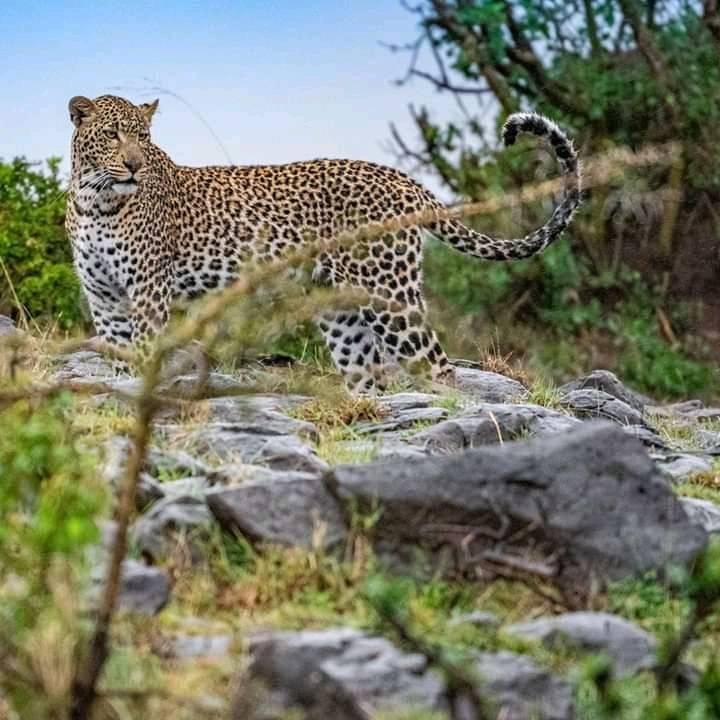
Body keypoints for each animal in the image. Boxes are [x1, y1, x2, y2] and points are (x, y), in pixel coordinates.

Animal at [65, 94, 581, 393]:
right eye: (112, 134)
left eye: (143, 136)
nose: (134, 165)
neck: (96, 198)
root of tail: (402, 179)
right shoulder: (104, 297)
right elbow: (117, 355)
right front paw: (119, 397)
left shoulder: (147, 293)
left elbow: (144, 350)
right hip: (341, 311)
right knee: (369, 376)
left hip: (390, 293)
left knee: (439, 367)